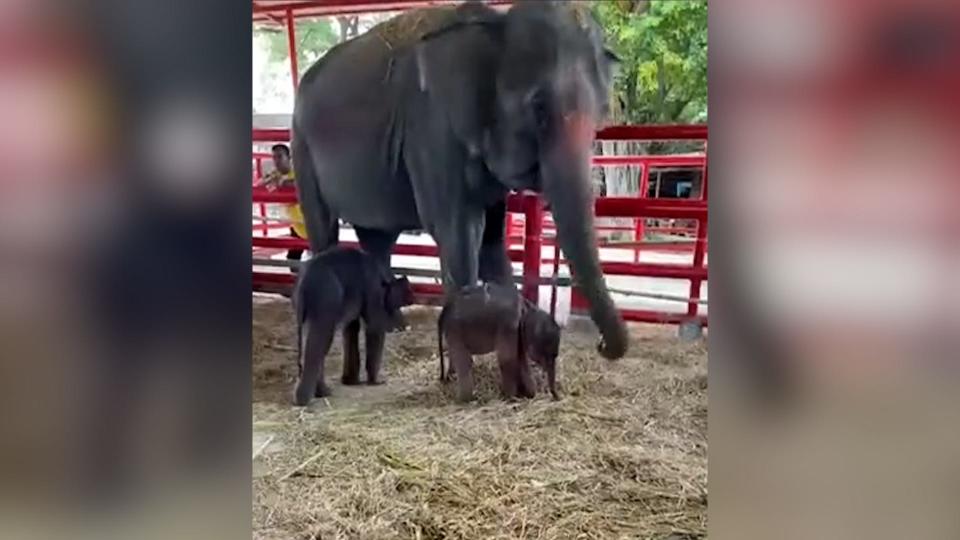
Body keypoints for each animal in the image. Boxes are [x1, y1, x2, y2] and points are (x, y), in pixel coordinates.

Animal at [292, 3, 632, 362]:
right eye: (538, 108)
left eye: (602, 112)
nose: (602, 345)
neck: (495, 23)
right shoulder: (431, 131)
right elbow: (459, 232)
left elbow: (493, 239)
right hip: (301, 146)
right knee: (325, 230)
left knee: (378, 238)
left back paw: (394, 324)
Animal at [292, 245, 412, 404]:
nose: (405, 326)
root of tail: (305, 284)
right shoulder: (372, 290)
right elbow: (374, 326)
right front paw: (377, 381)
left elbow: (351, 328)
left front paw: (351, 381)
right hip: (325, 303)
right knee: (319, 343)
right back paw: (309, 398)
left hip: (301, 310)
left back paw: (320, 393)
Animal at [436, 282, 564, 400]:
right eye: (548, 356)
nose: (557, 397)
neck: (527, 309)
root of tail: (445, 309)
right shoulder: (508, 325)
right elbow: (507, 359)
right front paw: (510, 398)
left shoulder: (517, 332)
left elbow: (521, 359)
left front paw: (527, 395)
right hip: (456, 330)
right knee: (463, 360)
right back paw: (464, 399)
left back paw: (450, 381)